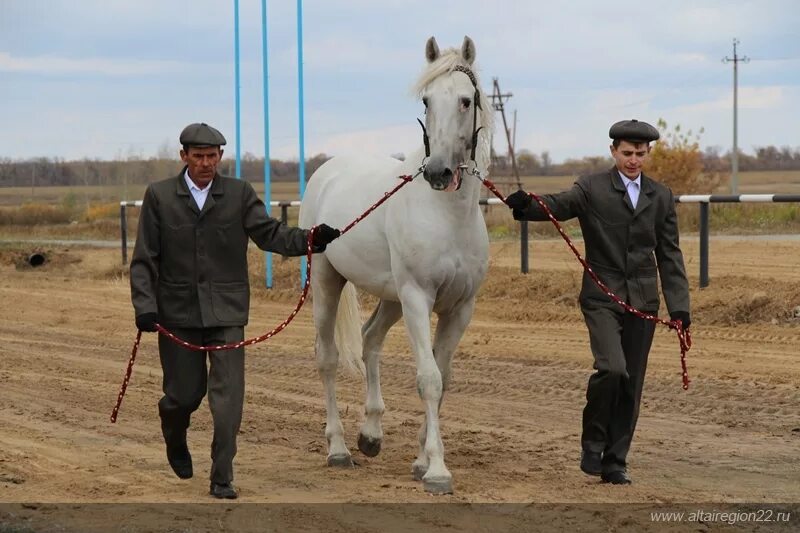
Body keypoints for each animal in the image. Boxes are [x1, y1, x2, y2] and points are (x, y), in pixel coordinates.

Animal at [296, 36, 490, 494]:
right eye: (426, 100)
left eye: (466, 100)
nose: (438, 172)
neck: (448, 215)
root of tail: (327, 172)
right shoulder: (418, 298)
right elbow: (428, 379)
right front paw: (437, 471)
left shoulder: (460, 308)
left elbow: (443, 378)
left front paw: (421, 460)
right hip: (330, 283)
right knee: (327, 357)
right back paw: (339, 449)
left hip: (391, 299)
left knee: (370, 340)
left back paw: (370, 435)